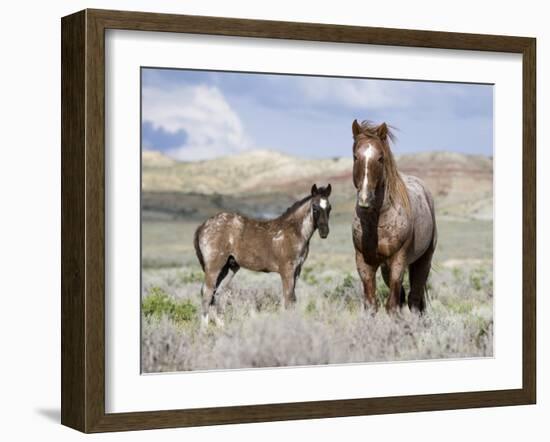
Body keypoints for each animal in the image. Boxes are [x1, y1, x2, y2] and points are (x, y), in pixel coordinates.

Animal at [354, 120, 440, 314]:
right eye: (355, 156)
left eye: (380, 158)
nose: (365, 199)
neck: (377, 222)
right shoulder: (364, 263)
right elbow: (371, 304)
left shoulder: (398, 261)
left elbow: (392, 306)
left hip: (423, 261)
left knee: (414, 299)